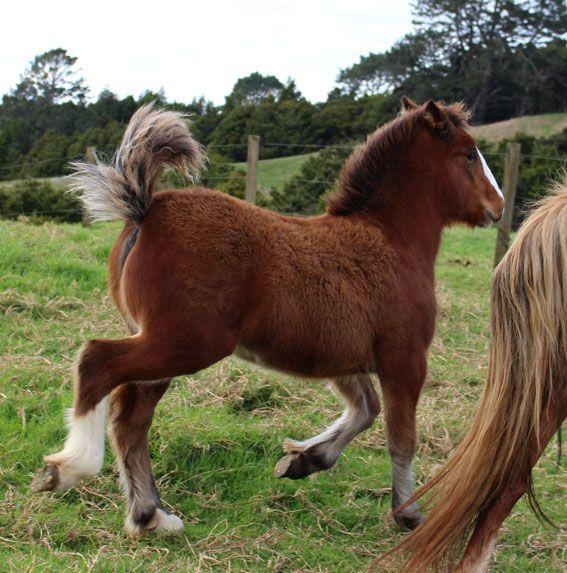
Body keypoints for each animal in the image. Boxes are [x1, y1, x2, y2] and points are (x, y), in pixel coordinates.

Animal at [31, 96, 504, 540]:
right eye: (468, 153)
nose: (497, 206)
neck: (389, 240)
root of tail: (146, 210)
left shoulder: (341, 359)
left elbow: (364, 410)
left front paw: (303, 460)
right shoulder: (404, 359)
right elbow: (401, 437)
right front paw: (408, 513)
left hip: (160, 344)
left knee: (132, 418)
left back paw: (150, 516)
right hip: (186, 343)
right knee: (97, 362)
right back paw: (70, 469)